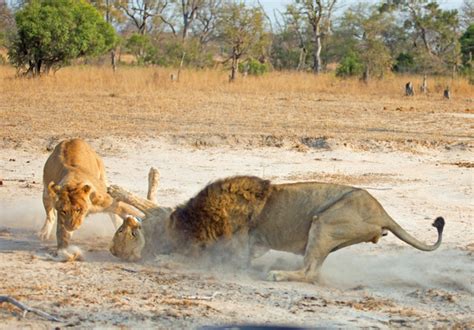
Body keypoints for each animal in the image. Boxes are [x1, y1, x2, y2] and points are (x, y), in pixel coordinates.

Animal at [108, 175, 444, 284]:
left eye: (133, 233)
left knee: (310, 273)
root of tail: (383, 212)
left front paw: (164, 259)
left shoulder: (232, 255)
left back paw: (278, 274)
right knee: (313, 269)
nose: (112, 249)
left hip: (325, 222)